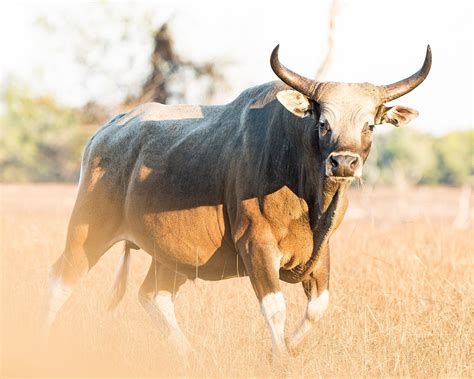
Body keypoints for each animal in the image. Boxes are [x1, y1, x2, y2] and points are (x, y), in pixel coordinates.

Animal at [42, 45, 432, 360]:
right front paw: (280, 358)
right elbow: (275, 308)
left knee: (153, 296)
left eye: (369, 125)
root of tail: (107, 131)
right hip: (86, 232)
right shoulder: (256, 244)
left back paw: (190, 356)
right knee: (60, 282)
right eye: (323, 122)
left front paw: (288, 349)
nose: (344, 163)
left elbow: (318, 308)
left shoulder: (320, 253)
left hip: (172, 256)